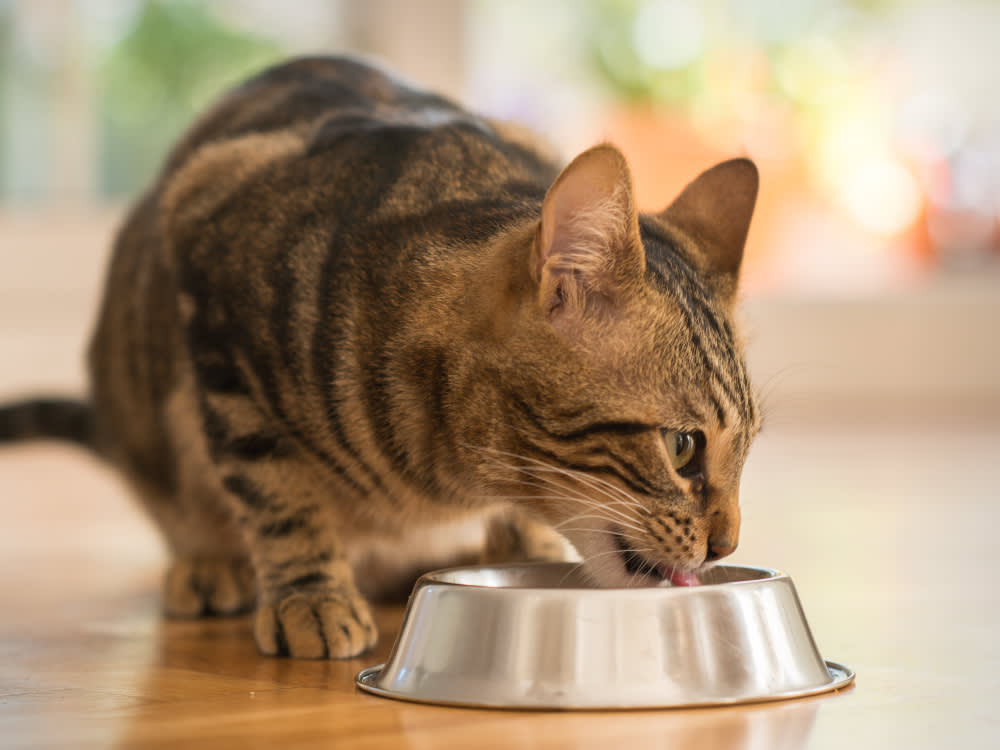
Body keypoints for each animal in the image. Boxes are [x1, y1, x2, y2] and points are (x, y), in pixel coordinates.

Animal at [0, 57, 760, 656]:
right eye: (684, 446)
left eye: (747, 448)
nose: (728, 545)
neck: (449, 476)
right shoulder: (212, 278)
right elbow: (276, 491)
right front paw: (308, 594)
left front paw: (524, 548)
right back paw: (213, 565)